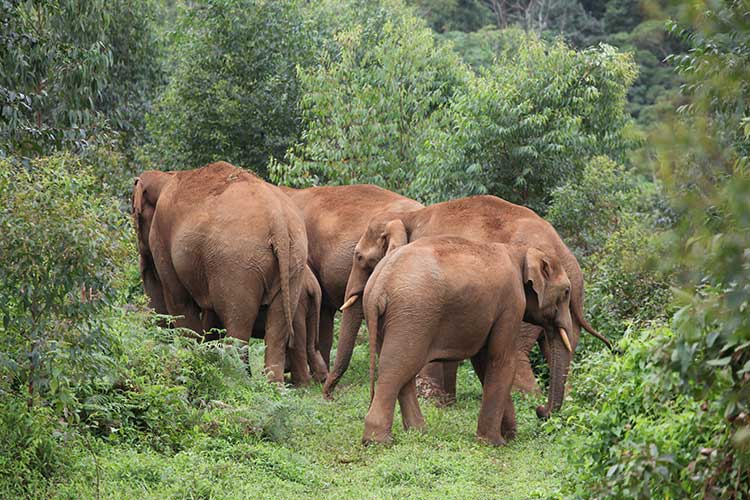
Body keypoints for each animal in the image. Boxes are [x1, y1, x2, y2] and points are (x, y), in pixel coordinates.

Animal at [134, 162, 306, 380]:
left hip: (237, 264)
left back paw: (236, 378)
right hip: (294, 261)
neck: (166, 177)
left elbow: (179, 302)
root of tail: (279, 223)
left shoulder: (161, 238)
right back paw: (270, 384)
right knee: (277, 330)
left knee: (238, 326)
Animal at [324, 195, 612, 418]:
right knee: (561, 347)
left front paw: (433, 400)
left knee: (520, 351)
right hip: (570, 305)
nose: (328, 395)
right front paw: (443, 401)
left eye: (359, 257)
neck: (408, 217)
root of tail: (565, 254)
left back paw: (529, 401)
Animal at [362, 237, 572, 446]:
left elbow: (483, 362)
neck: (520, 252)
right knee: (397, 369)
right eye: (567, 291)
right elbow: (501, 360)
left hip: (389, 320)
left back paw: (418, 432)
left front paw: (508, 436)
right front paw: (495, 443)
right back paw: (378, 441)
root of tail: (379, 283)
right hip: (412, 316)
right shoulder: (512, 303)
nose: (540, 410)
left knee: (401, 371)